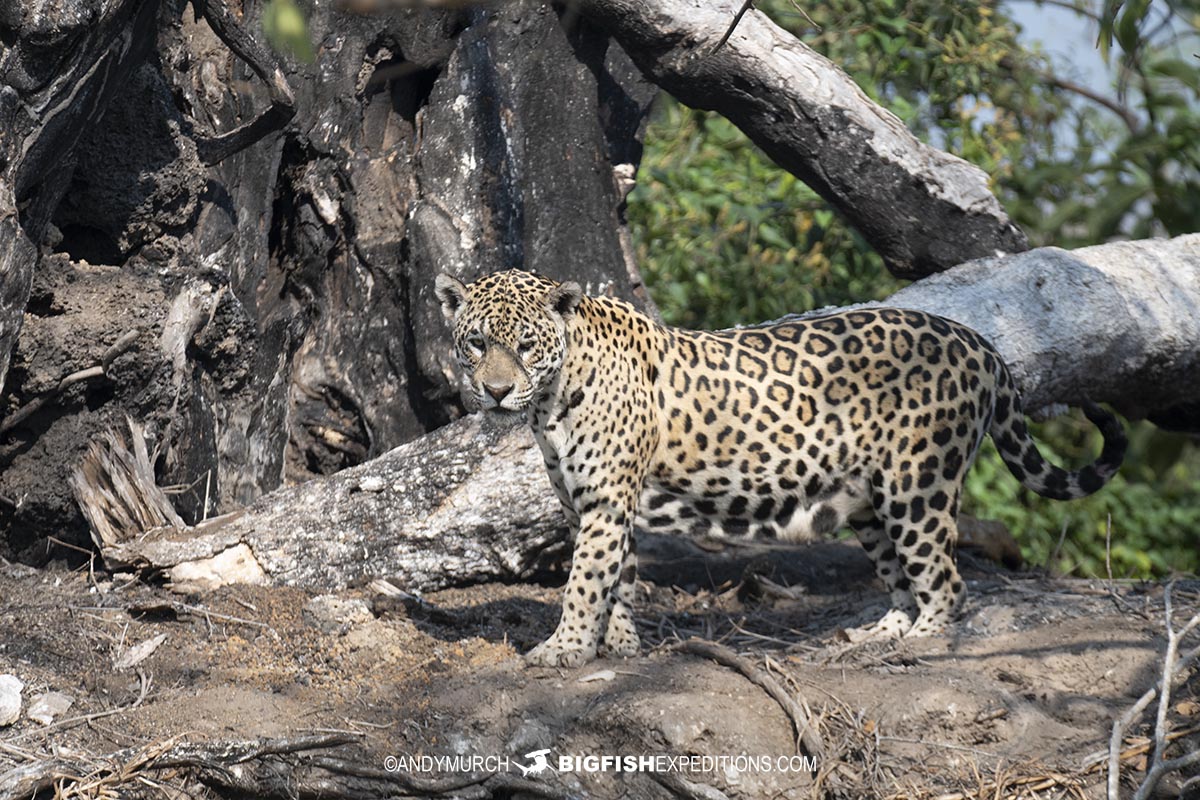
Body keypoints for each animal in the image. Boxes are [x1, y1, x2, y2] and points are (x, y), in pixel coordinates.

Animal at [434, 269, 1127, 668]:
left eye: (526, 346)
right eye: (477, 343)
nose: (496, 392)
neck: (551, 398)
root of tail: (980, 341)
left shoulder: (605, 502)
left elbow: (584, 582)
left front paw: (565, 649)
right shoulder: (597, 505)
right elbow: (618, 580)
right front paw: (619, 646)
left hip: (918, 484)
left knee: (945, 580)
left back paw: (922, 641)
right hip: (869, 499)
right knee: (901, 578)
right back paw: (876, 636)